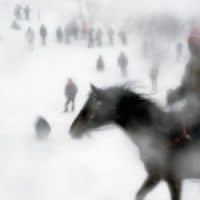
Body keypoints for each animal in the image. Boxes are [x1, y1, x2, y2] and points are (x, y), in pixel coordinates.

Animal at [70, 84, 200, 200]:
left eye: (90, 107)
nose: (72, 130)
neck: (160, 135)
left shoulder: (169, 178)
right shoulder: (158, 177)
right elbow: (139, 195)